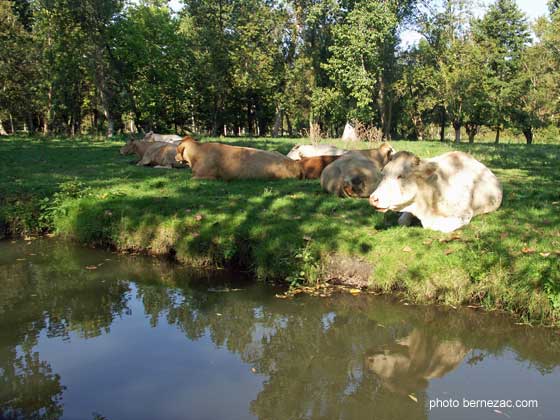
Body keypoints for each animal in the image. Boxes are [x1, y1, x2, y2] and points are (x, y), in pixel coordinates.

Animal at [368, 150, 504, 231]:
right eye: (383, 174)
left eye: (401, 176)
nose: (373, 198)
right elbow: (402, 220)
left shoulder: (464, 214)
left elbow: (432, 225)